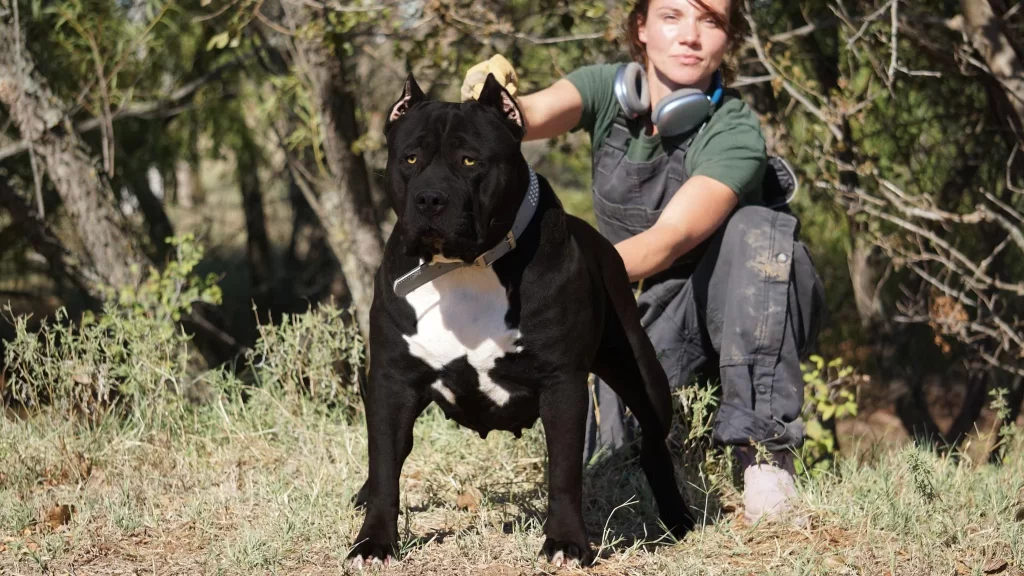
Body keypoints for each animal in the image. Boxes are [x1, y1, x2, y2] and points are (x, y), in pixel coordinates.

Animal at [348, 71, 692, 565]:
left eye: (470, 160)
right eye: (410, 158)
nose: (430, 198)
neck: (464, 268)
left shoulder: (562, 383)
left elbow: (564, 471)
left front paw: (566, 543)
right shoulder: (392, 381)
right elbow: (384, 464)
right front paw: (373, 541)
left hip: (642, 375)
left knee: (653, 441)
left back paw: (678, 519)